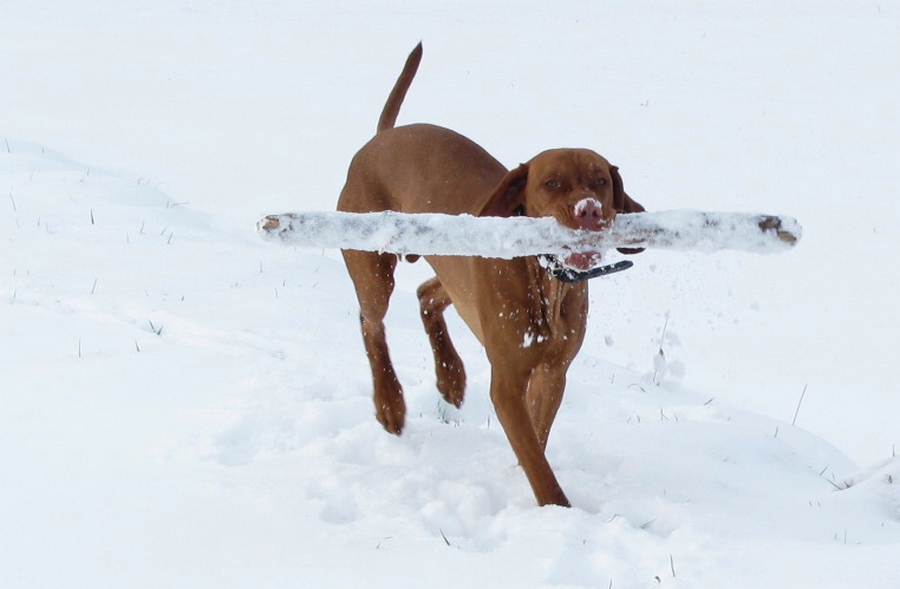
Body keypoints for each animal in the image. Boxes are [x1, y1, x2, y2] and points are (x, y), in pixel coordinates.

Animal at [334, 44, 644, 506]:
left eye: (601, 181)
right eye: (551, 183)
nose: (588, 210)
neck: (547, 281)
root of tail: (380, 138)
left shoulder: (553, 372)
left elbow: (538, 437)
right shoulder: (508, 382)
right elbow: (536, 459)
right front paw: (557, 508)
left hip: (456, 267)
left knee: (426, 295)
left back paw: (450, 376)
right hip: (373, 268)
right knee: (370, 322)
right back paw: (390, 402)